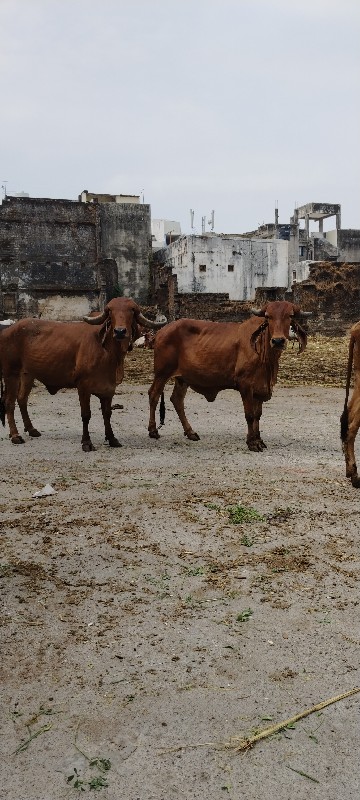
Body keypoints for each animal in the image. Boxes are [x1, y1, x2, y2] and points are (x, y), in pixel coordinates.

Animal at [0, 298, 165, 450]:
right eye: (110, 311)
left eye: (131, 310)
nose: (120, 331)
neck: (108, 353)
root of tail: (7, 330)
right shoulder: (83, 387)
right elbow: (86, 415)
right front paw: (86, 442)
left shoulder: (109, 390)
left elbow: (107, 414)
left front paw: (112, 438)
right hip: (11, 374)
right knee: (9, 403)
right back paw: (15, 435)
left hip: (27, 375)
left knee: (22, 399)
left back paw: (31, 429)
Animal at [148, 300, 310, 450]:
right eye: (268, 316)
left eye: (290, 316)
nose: (277, 341)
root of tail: (161, 331)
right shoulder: (245, 385)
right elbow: (250, 415)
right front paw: (252, 442)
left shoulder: (260, 387)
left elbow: (258, 415)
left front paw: (259, 440)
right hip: (162, 372)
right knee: (154, 394)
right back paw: (153, 430)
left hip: (183, 379)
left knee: (177, 400)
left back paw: (190, 432)